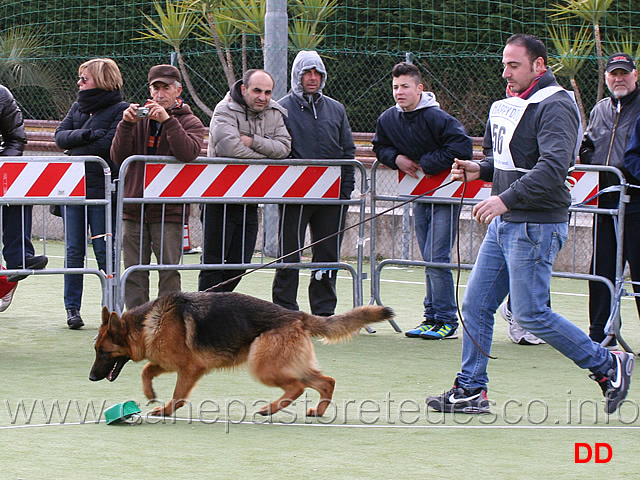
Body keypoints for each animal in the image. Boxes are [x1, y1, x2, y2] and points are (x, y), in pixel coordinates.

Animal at [87, 290, 392, 418]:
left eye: (103, 352)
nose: (90, 378)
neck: (149, 323)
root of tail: (296, 315)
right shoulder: (166, 362)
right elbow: (146, 369)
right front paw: (150, 393)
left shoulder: (188, 369)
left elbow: (177, 395)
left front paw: (165, 410)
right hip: (288, 364)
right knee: (326, 381)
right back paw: (317, 411)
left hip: (262, 366)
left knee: (297, 387)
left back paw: (270, 409)